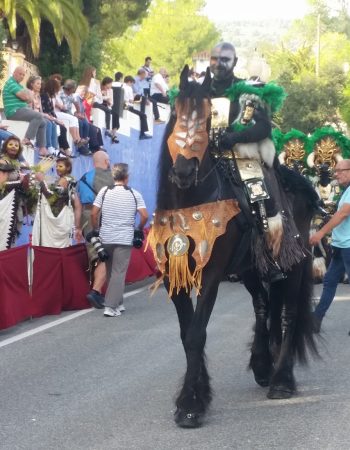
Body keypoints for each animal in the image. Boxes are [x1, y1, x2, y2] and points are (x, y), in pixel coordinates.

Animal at [149, 67, 318, 428]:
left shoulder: (211, 275)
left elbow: (197, 333)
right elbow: (187, 333)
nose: (184, 170)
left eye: (207, 118)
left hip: (294, 261)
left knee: (288, 313)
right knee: (264, 305)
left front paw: (190, 405)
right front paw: (197, 394)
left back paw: (281, 380)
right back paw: (263, 364)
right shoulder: (174, 276)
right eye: (176, 114)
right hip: (252, 267)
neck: (191, 203)